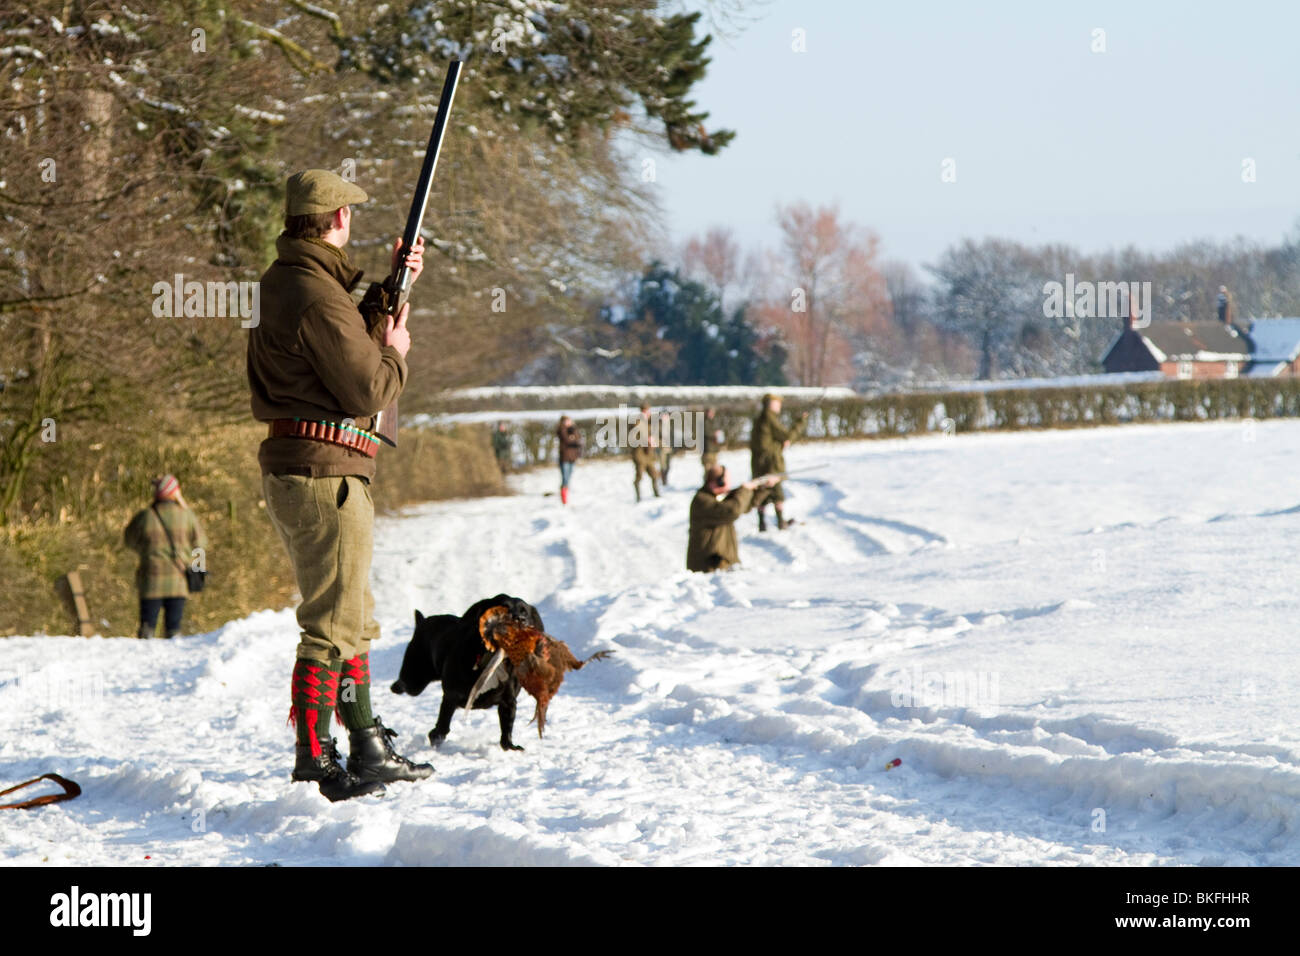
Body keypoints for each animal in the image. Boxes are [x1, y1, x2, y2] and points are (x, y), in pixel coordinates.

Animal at [392, 595, 540, 749]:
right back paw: (396, 686)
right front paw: (435, 737)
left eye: (525, 612)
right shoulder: (451, 696)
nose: (520, 619)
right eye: (502, 608)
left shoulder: (509, 701)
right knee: (406, 683)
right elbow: (442, 725)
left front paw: (510, 746)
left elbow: (507, 728)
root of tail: (422, 621)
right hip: (414, 680)